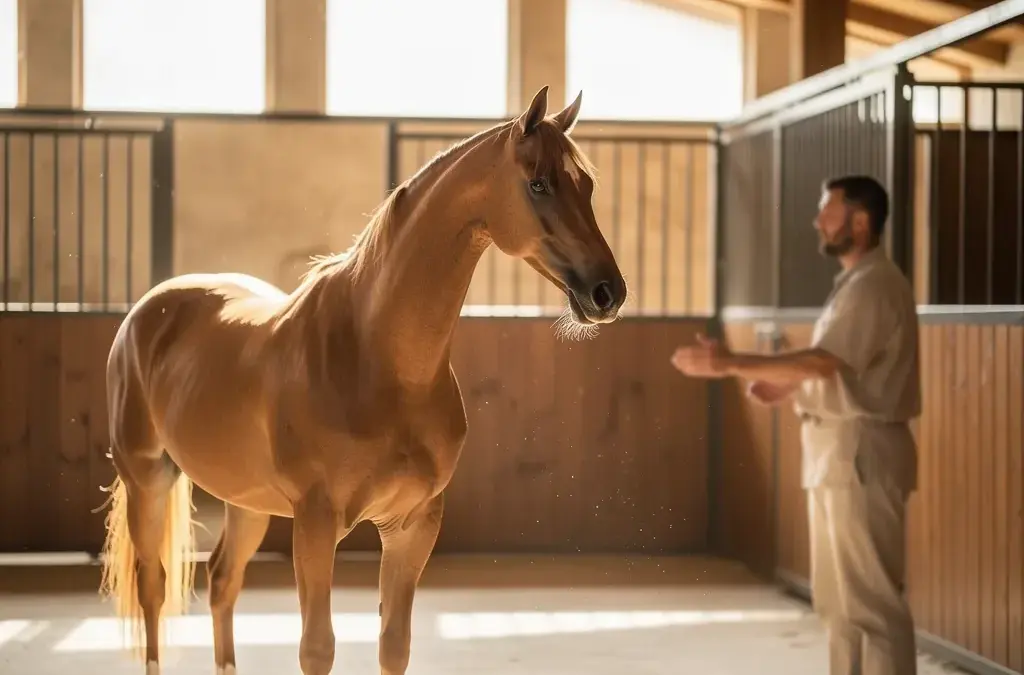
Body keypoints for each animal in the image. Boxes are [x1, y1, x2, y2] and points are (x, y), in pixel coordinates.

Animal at [97, 85, 627, 675]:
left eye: (587, 185)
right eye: (538, 183)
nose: (608, 292)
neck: (379, 363)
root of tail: (148, 309)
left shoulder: (410, 525)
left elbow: (394, 645)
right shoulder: (315, 522)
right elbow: (317, 648)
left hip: (246, 502)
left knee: (221, 582)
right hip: (148, 480)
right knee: (153, 588)